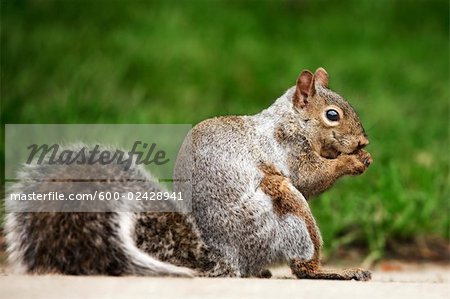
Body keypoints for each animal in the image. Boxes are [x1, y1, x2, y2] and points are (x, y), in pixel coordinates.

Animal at [4, 68, 372, 282]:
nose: (363, 141)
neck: (291, 120)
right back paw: (335, 272)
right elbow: (310, 177)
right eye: (332, 115)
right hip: (286, 205)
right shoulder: (288, 149)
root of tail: (228, 256)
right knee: (302, 267)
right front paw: (353, 162)